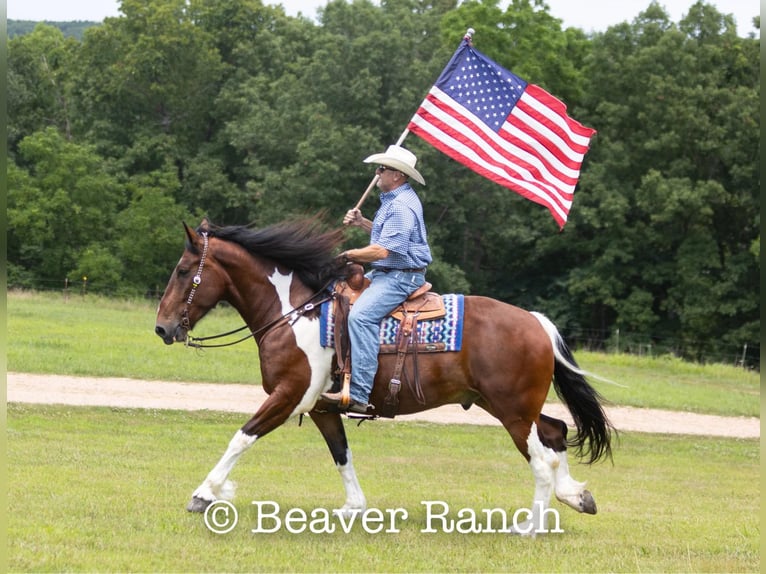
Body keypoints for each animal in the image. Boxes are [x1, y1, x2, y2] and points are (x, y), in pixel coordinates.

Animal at [154, 217, 614, 534]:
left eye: (182, 271)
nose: (161, 328)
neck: (294, 312)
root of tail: (535, 321)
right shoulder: (321, 408)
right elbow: (341, 454)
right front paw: (352, 508)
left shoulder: (288, 396)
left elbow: (241, 437)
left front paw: (204, 494)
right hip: (507, 406)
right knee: (555, 433)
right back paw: (576, 496)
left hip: (513, 412)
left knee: (541, 459)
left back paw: (530, 527)